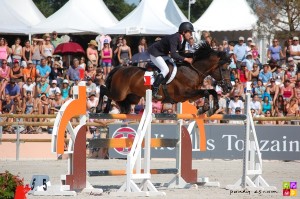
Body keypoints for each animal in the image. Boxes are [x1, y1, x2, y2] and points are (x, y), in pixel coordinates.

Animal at [101, 43, 232, 115]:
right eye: (224, 69)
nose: (229, 88)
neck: (192, 70)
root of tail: (120, 68)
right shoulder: (185, 93)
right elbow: (206, 92)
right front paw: (204, 108)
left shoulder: (191, 96)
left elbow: (211, 91)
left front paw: (212, 109)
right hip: (119, 93)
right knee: (104, 89)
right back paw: (101, 108)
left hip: (133, 98)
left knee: (120, 102)